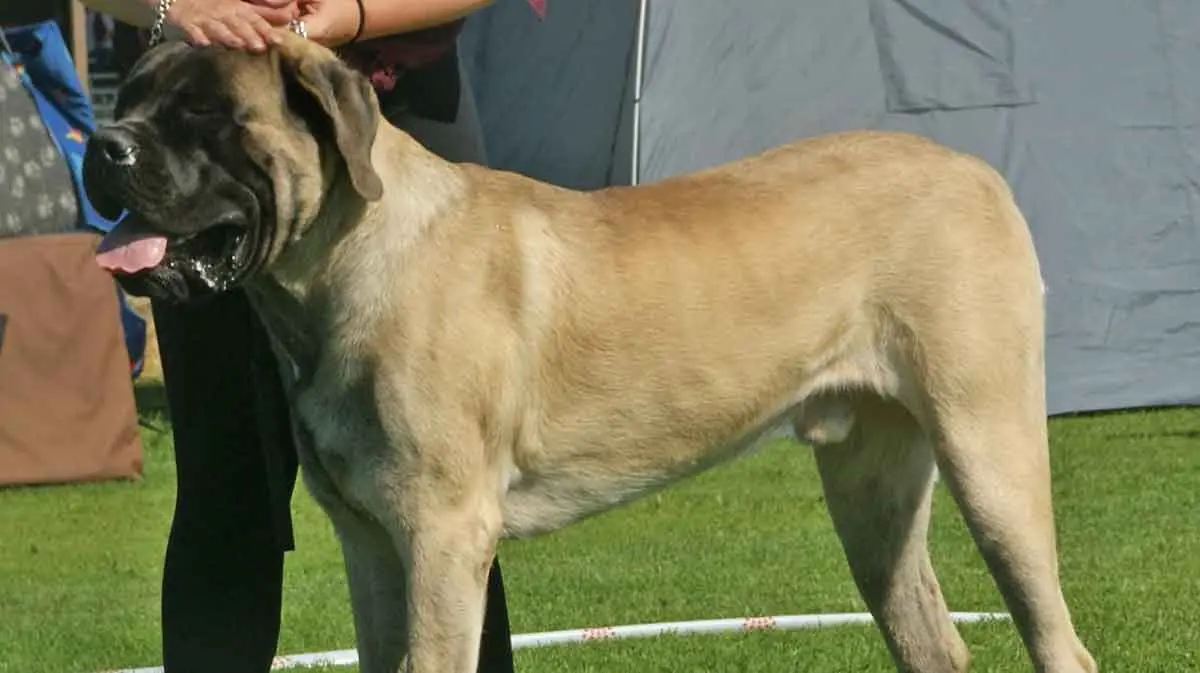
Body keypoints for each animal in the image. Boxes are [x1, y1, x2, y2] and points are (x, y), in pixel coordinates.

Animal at [82, 30, 1099, 671]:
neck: (344, 263)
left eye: (206, 113)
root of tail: (978, 172)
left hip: (989, 452)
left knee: (1057, 636)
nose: (103, 145)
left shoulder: (442, 535)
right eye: (130, 98)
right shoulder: (370, 541)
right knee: (928, 631)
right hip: (873, 490)